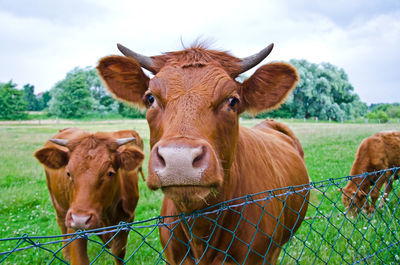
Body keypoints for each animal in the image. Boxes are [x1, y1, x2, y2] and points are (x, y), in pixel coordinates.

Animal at [33, 127, 145, 262]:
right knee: (61, 222)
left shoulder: (125, 222)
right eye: (68, 173)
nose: (80, 219)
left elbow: (118, 253)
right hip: (57, 203)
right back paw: (66, 255)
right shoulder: (74, 228)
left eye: (110, 173)